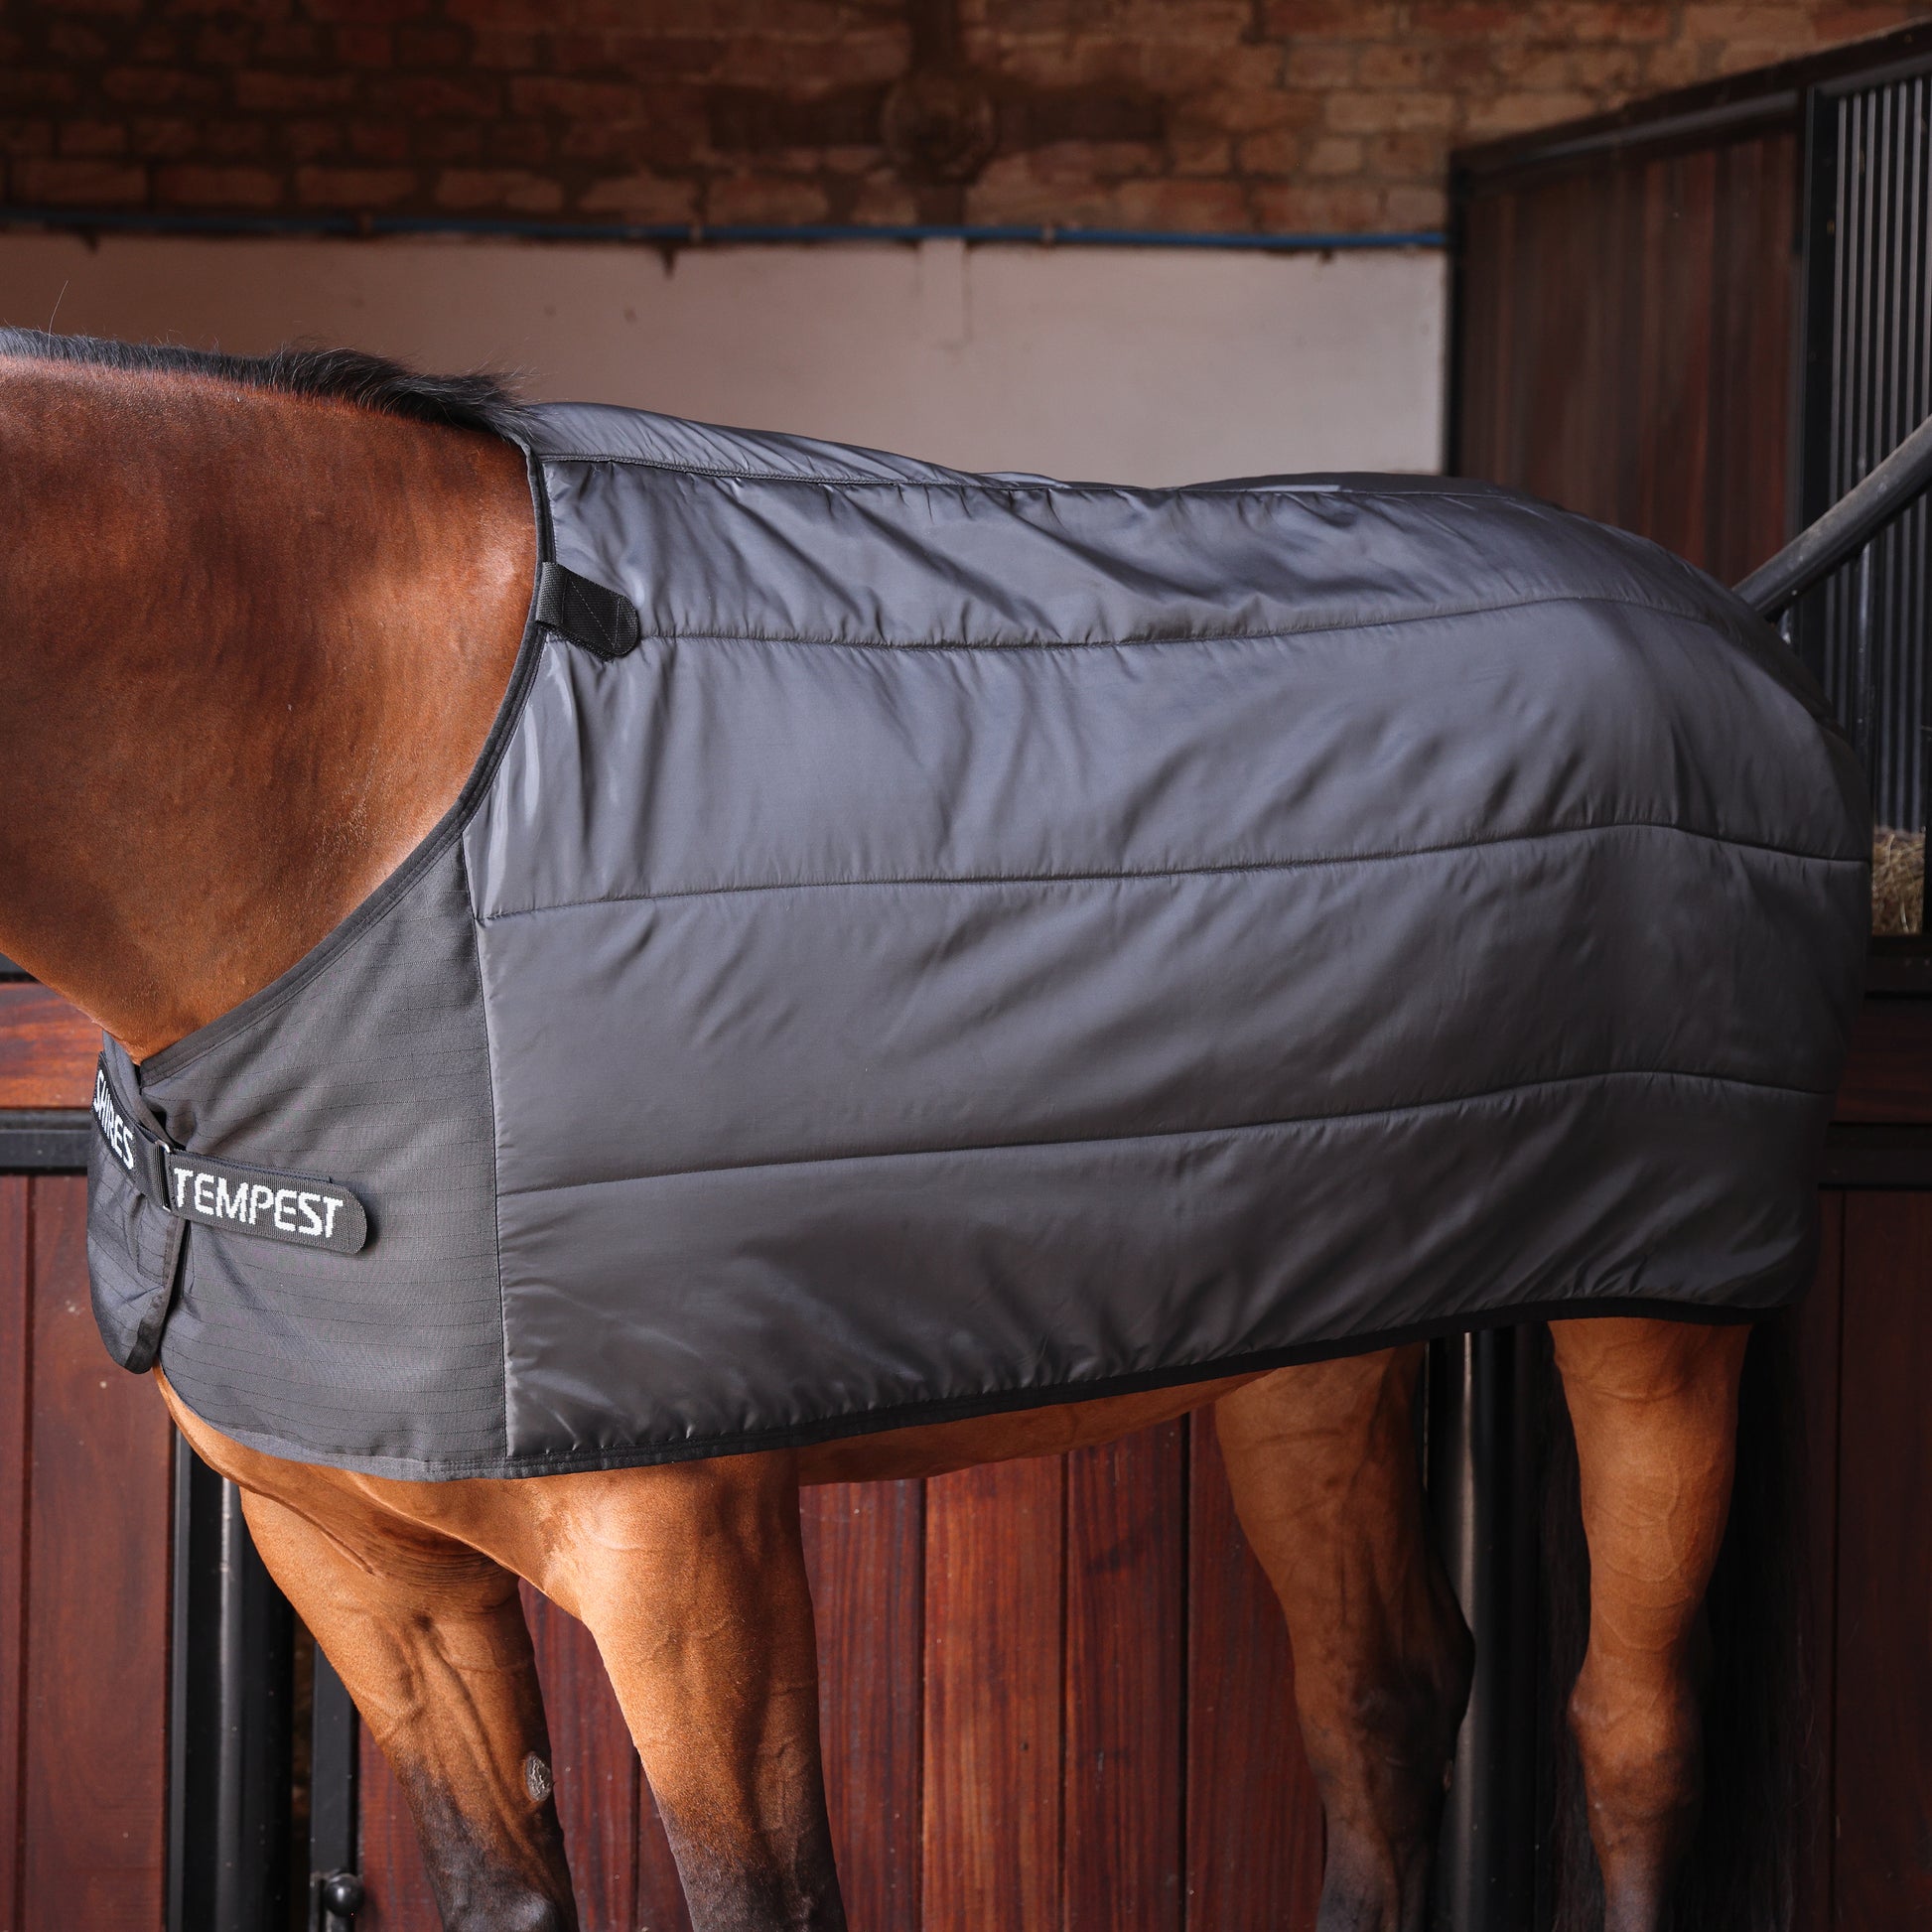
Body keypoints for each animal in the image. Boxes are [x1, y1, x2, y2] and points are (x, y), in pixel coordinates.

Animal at [0, 330, 1859, 1932]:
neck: (394, 804)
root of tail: (1731, 628)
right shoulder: (359, 1564)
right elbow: (502, 1892)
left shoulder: (690, 1561)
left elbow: (767, 1899)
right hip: (1314, 1340)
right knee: (1383, 1705)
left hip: (1658, 1327)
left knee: (1630, 1734)